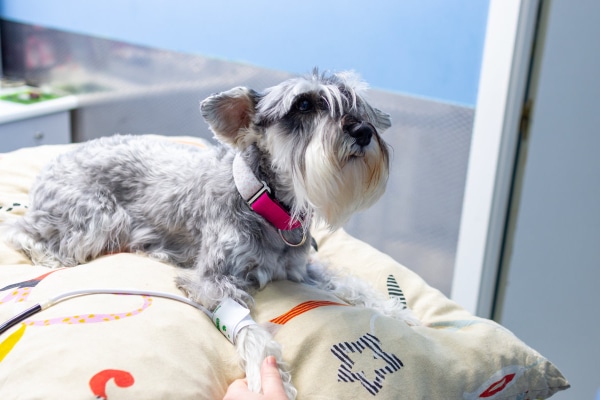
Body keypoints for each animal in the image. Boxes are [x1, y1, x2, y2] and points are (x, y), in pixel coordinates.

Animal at [7, 70, 418, 398]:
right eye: (302, 104)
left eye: (356, 101)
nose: (363, 132)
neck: (266, 204)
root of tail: (54, 162)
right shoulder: (212, 279)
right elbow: (252, 333)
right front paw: (272, 381)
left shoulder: (300, 268)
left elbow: (351, 282)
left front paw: (398, 311)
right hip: (99, 221)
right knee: (20, 230)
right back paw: (48, 254)